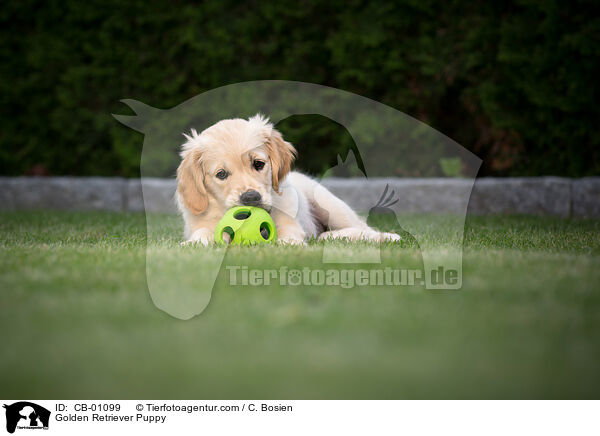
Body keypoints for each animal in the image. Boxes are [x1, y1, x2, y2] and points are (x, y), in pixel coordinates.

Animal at [175, 115, 398, 245]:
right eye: (221, 174)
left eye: (258, 164)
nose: (251, 198)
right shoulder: (200, 223)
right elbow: (203, 232)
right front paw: (195, 243)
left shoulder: (290, 221)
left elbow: (287, 235)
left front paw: (287, 245)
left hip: (331, 206)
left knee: (363, 228)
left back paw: (387, 237)